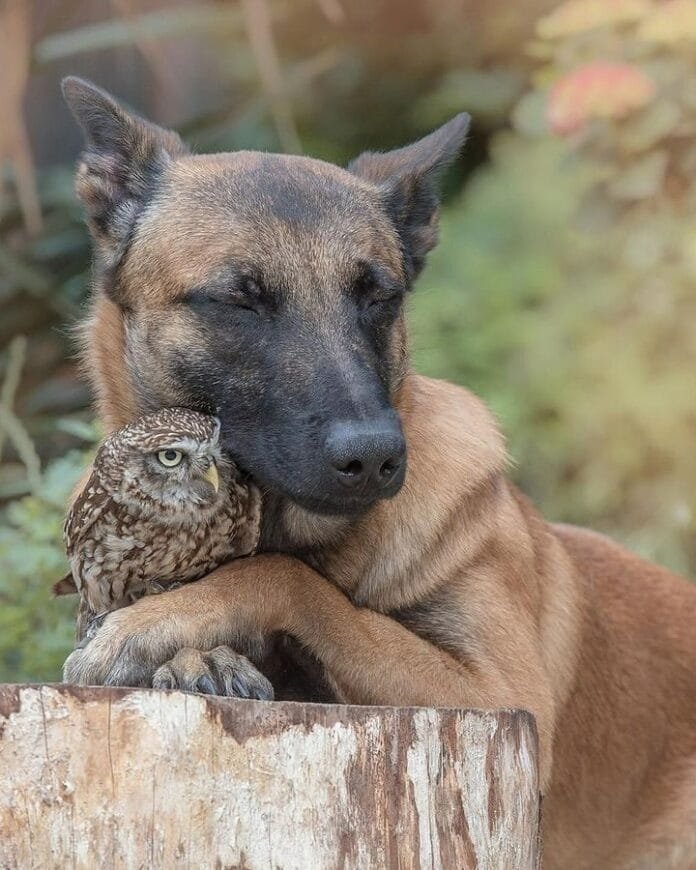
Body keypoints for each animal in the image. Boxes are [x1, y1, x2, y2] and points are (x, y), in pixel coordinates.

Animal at [59, 78, 696, 868]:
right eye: (238, 300)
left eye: (379, 297)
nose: (374, 456)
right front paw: (192, 654)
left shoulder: (502, 695)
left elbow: (290, 581)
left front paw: (158, 625)